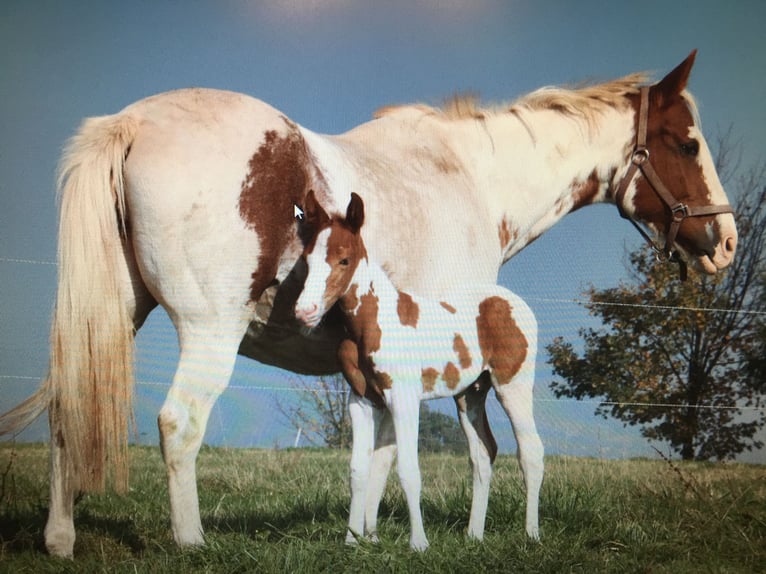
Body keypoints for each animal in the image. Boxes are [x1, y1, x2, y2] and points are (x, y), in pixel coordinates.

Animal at [296, 191, 544, 552]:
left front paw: (419, 543)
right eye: (307, 259)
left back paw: (531, 534)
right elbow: (359, 470)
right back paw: (474, 534)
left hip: (513, 385)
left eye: (344, 260)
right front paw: (353, 540)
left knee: (531, 452)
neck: (374, 322)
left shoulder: (404, 398)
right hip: (470, 395)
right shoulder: (361, 401)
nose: (305, 311)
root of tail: (513, 303)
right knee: (483, 454)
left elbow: (408, 470)